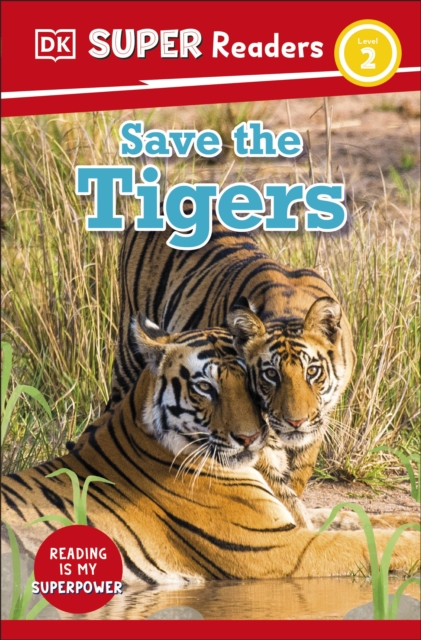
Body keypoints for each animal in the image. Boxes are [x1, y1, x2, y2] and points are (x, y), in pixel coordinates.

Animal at [2, 316, 419, 585]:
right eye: (205, 388)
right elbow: (368, 543)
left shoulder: (294, 519)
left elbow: (361, 518)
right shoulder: (275, 547)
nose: (249, 438)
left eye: (252, 382)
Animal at [109, 205, 355, 519]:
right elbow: (280, 492)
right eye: (270, 375)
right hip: (129, 354)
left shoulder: (316, 424)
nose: (295, 422)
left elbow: (297, 477)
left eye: (312, 372)